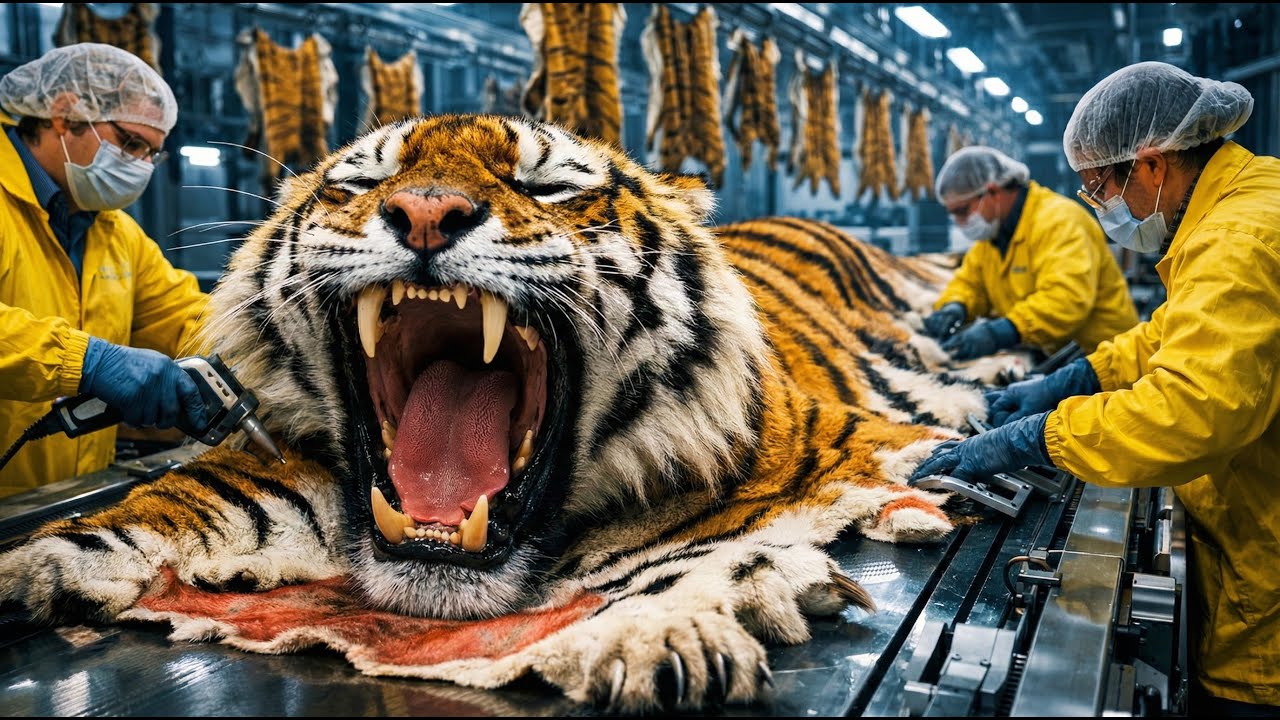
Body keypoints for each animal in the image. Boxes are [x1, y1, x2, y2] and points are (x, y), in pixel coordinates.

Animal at [0, 114, 1001, 713]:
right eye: (359, 182)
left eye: (548, 187)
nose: (425, 211)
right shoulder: (277, 456)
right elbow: (175, 500)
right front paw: (46, 563)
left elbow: (702, 555)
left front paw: (658, 632)